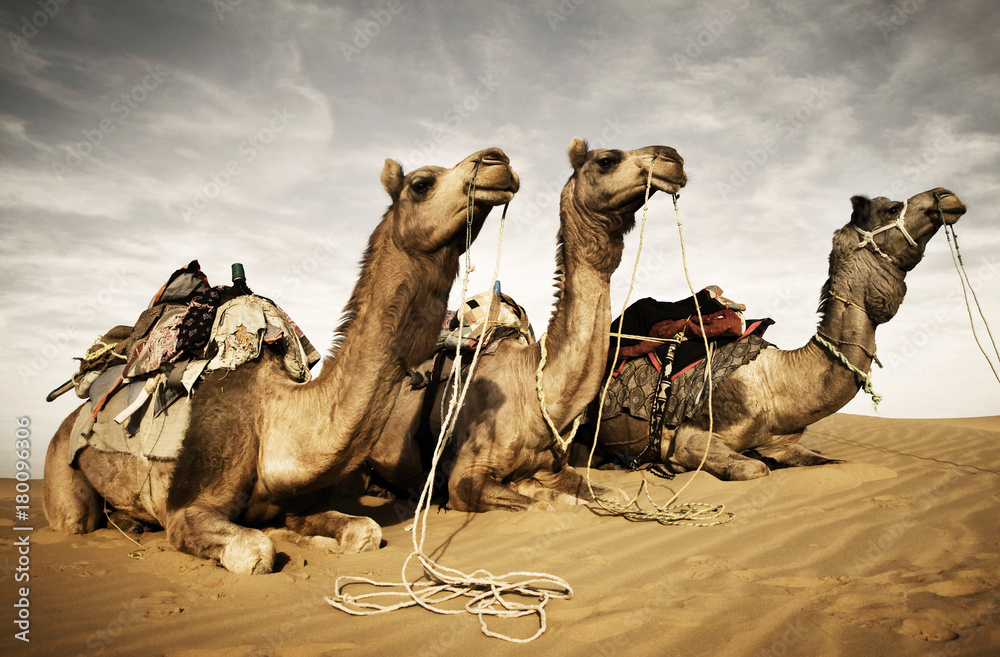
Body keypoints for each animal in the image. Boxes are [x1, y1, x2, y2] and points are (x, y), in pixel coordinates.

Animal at [43, 147, 520, 573]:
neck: (272, 417)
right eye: (422, 183)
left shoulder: (297, 502)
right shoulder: (185, 511)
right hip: (62, 474)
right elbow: (256, 550)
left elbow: (364, 531)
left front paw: (308, 539)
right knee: (77, 519)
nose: (498, 161)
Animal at [366, 138, 687, 510]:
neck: (533, 390)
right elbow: (542, 505)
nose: (673, 158)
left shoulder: (554, 467)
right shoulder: (464, 476)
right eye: (607, 160)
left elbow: (608, 494)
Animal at [593, 188, 967, 480]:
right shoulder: (690, 437)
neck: (777, 383)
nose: (946, 196)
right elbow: (755, 468)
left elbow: (837, 462)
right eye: (891, 207)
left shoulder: (782, 443)